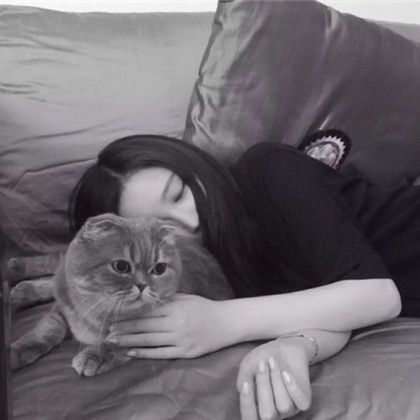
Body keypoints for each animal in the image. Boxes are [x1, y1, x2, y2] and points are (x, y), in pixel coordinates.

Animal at [11, 213, 233, 376]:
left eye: (159, 269)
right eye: (121, 266)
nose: (142, 285)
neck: (98, 312)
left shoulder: (156, 332)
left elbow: (115, 344)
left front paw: (93, 356)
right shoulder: (63, 308)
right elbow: (47, 330)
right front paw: (19, 350)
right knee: (51, 263)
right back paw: (16, 271)